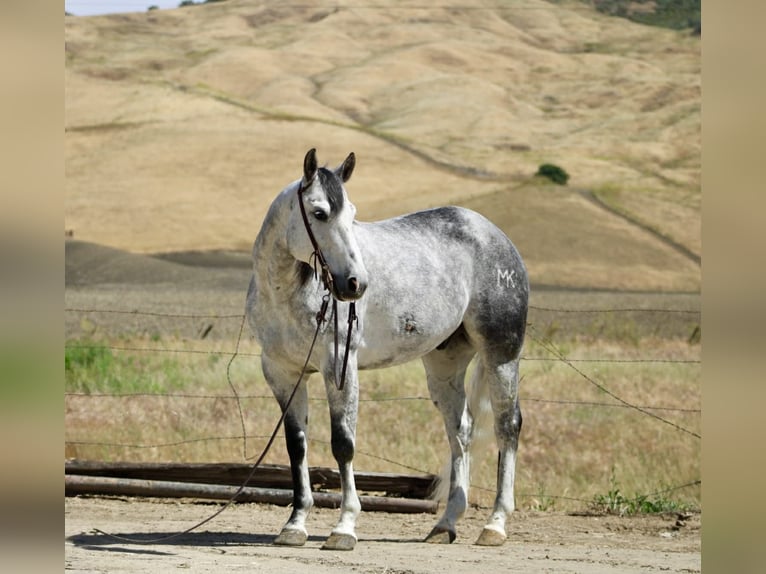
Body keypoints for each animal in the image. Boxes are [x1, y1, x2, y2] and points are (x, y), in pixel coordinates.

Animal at [245, 148, 528, 550]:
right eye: (319, 213)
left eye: (352, 214)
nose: (355, 284)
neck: (287, 293)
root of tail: (492, 233)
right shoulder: (282, 373)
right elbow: (296, 446)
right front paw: (294, 526)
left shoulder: (339, 367)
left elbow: (343, 444)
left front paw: (344, 528)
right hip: (444, 365)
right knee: (460, 432)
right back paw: (445, 525)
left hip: (501, 355)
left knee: (508, 426)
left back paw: (495, 525)